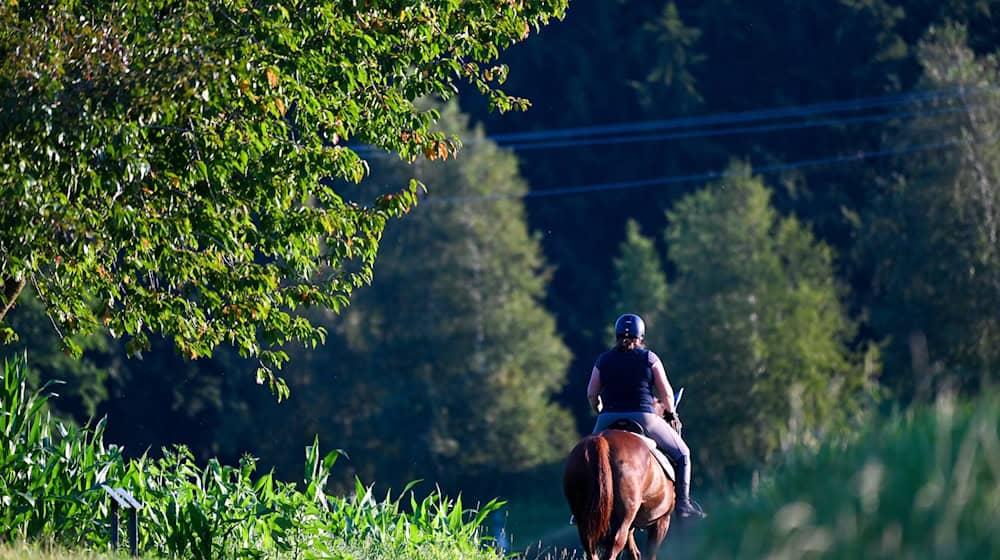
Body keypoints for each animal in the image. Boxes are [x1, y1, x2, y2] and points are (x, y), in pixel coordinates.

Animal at [568, 426, 676, 556]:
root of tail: (600, 439)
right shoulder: (661, 520)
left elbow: (633, 552)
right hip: (625, 516)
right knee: (616, 543)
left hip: (586, 520)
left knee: (590, 544)